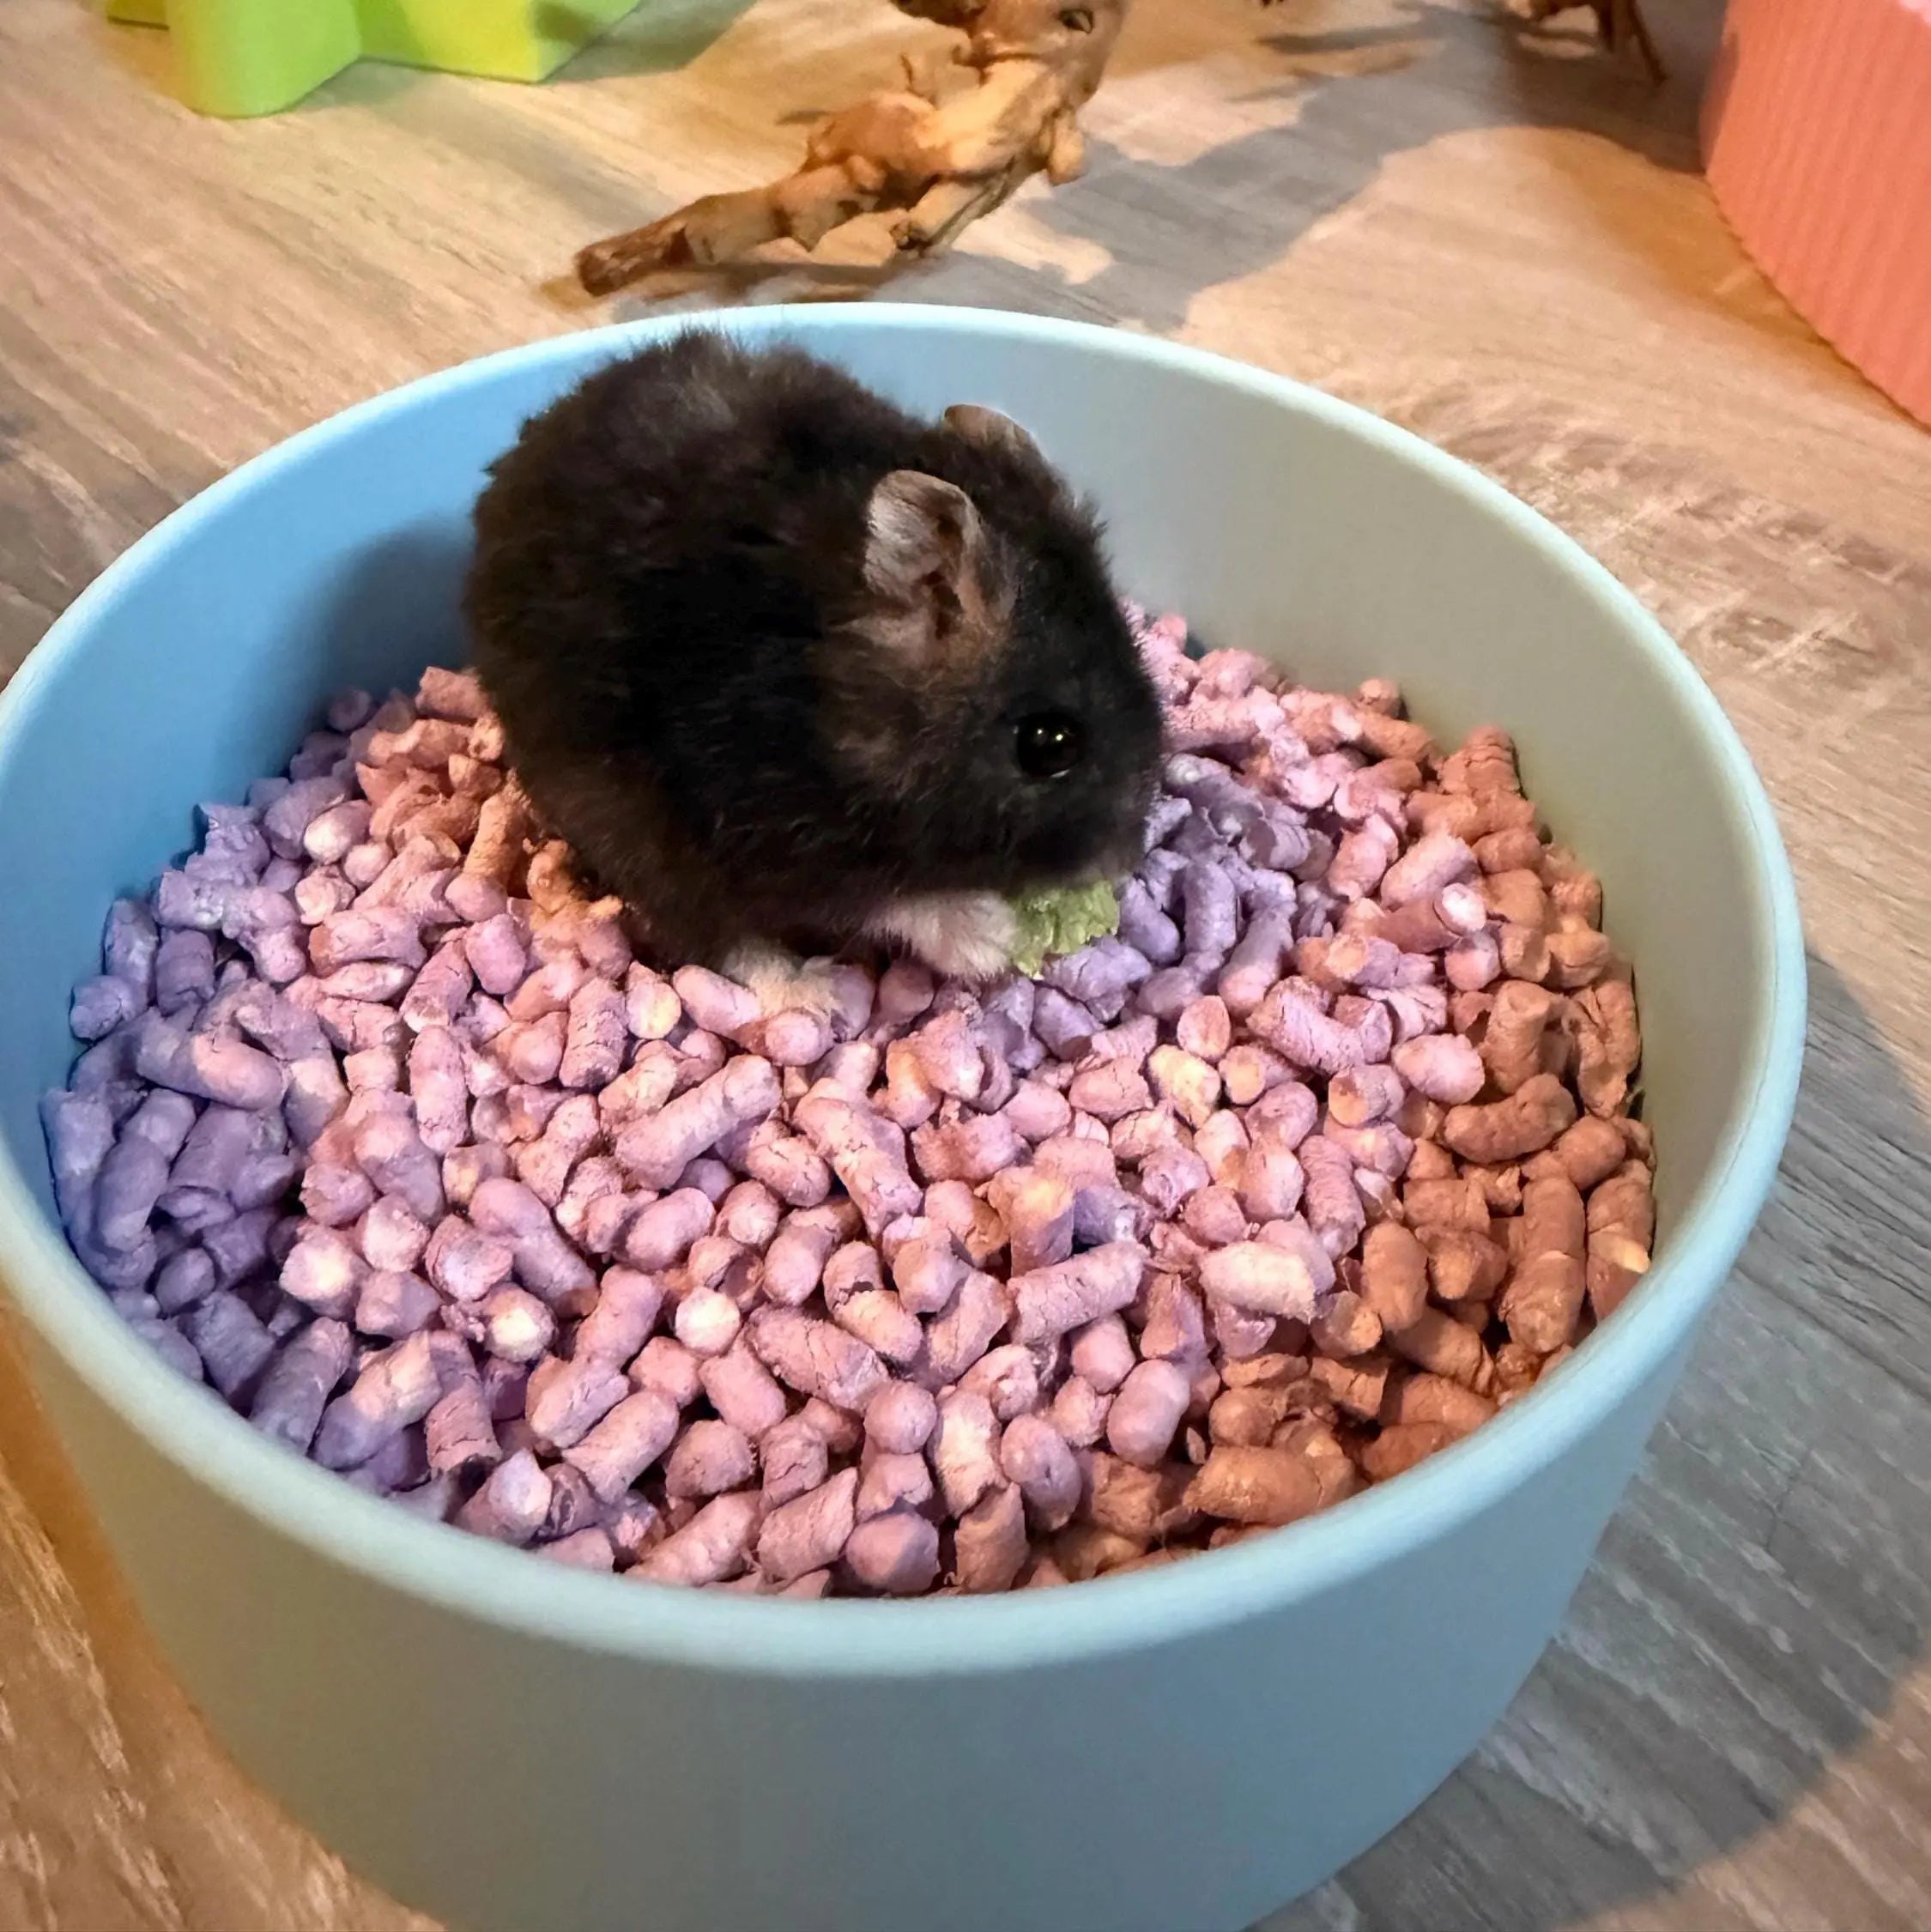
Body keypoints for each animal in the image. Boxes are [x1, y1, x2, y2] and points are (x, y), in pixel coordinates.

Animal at [465, 332, 1162, 1009]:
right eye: (1050, 744)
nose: (1123, 862)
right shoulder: (776, 841)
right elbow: (896, 901)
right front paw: (992, 938)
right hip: (628, 832)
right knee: (718, 938)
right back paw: (813, 994)